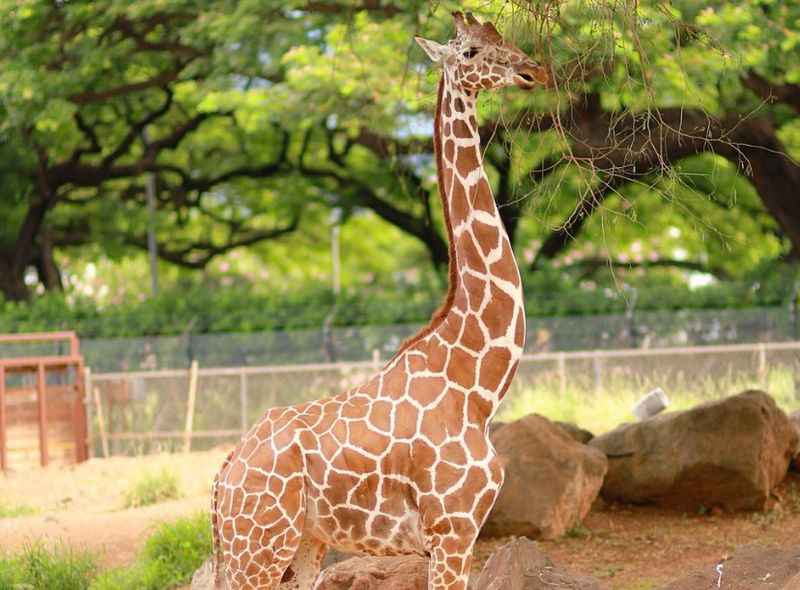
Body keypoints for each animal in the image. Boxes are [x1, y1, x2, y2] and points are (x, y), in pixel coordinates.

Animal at [208, 12, 552, 590]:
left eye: (506, 40)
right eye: (471, 52)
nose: (534, 71)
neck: (478, 387)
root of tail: (223, 475)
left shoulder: (458, 537)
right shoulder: (452, 530)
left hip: (303, 542)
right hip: (257, 548)